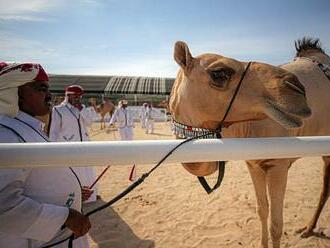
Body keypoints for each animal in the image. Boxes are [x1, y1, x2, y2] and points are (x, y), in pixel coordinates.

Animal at [169, 37, 328, 248]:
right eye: (219, 73)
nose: (297, 87)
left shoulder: (278, 164)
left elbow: (276, 225)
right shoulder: (253, 164)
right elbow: (262, 210)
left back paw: (308, 229)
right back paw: (308, 229)